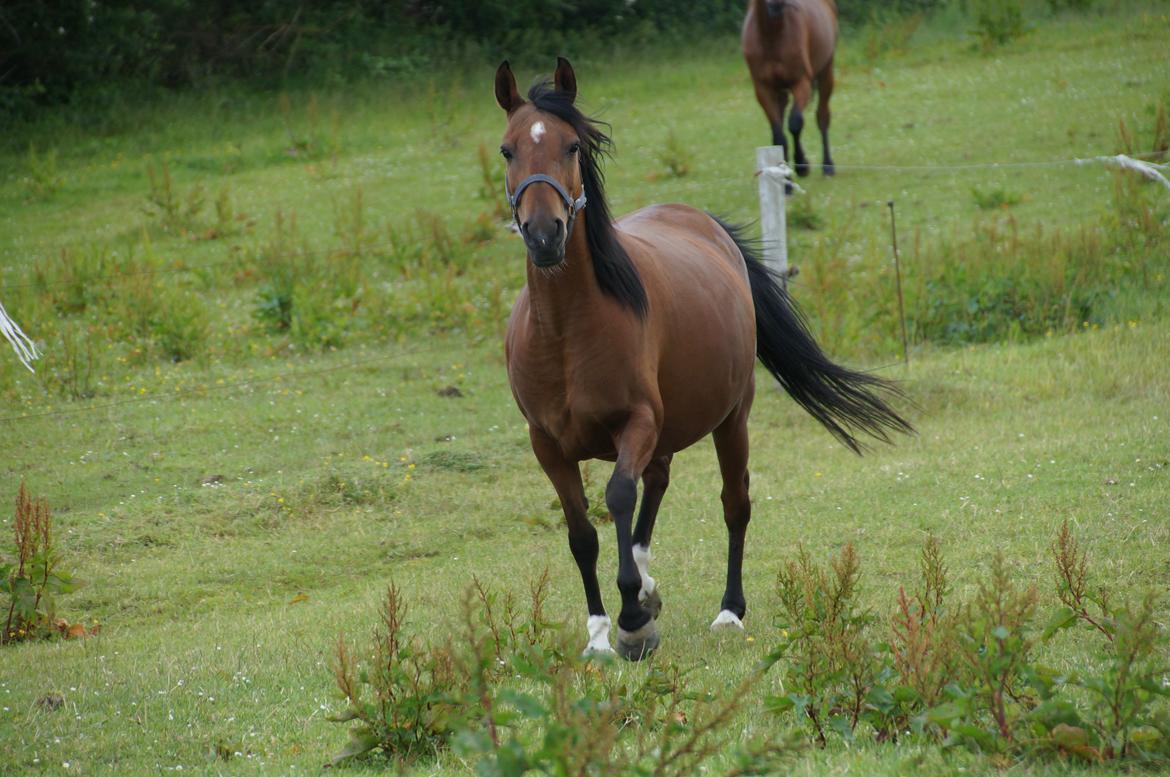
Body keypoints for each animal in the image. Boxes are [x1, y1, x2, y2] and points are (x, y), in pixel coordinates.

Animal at [491, 56, 903, 659]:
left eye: (571, 146)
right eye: (507, 149)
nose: (545, 235)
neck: (566, 334)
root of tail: (702, 221)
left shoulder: (636, 423)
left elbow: (618, 495)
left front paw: (633, 621)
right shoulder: (547, 444)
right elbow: (582, 532)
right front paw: (599, 633)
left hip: (731, 419)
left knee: (733, 503)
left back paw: (727, 611)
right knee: (658, 483)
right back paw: (647, 583)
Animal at [744, 0, 837, 180]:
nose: (776, 4)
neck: (771, 35)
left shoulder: (801, 83)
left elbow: (795, 123)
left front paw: (802, 166)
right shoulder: (763, 89)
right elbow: (778, 135)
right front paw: (785, 179)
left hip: (826, 72)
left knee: (822, 117)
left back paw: (828, 166)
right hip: (780, 93)